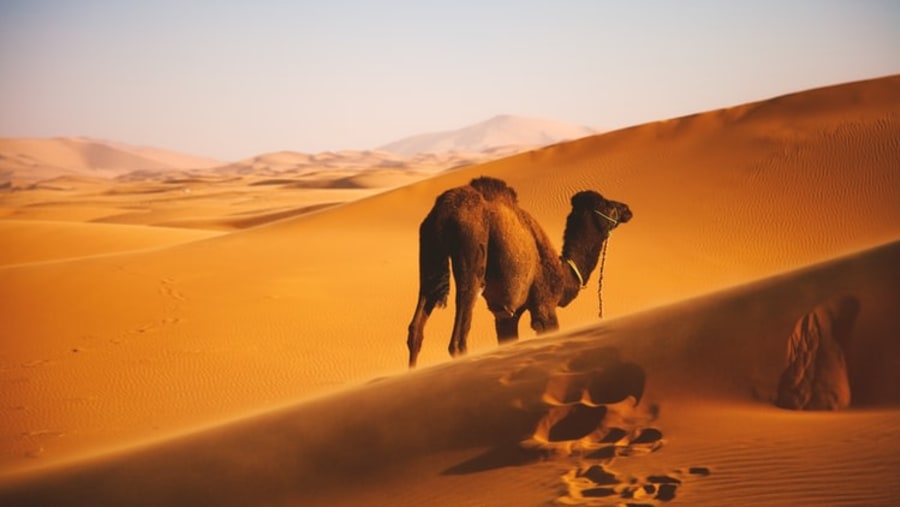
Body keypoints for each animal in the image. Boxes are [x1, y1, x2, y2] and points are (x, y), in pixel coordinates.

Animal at [408, 177, 632, 368]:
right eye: (607, 204)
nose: (627, 209)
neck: (562, 275)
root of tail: (444, 209)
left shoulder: (507, 315)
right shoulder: (543, 306)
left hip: (429, 252)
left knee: (416, 329)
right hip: (471, 252)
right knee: (458, 341)